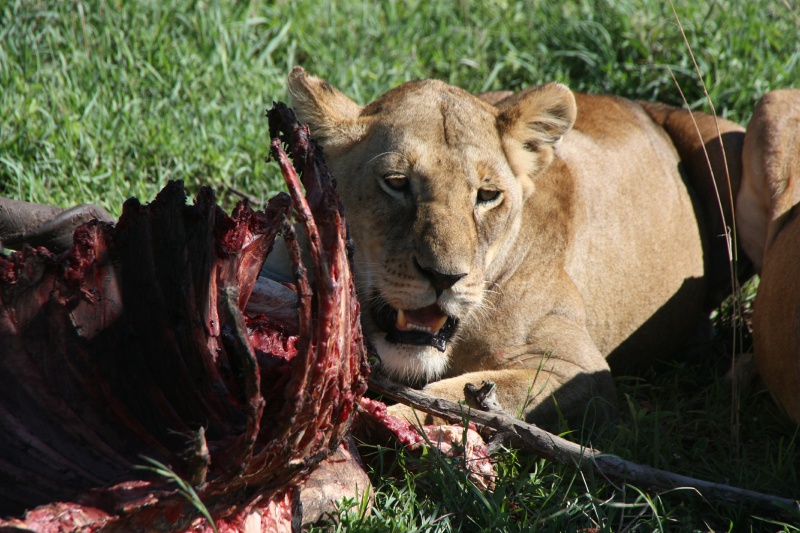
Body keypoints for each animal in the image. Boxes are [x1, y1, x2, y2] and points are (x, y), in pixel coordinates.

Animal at [280, 67, 745, 427]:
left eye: (487, 195)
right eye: (396, 183)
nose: (444, 278)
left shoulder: (576, 370)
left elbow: (451, 399)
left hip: (729, 141)